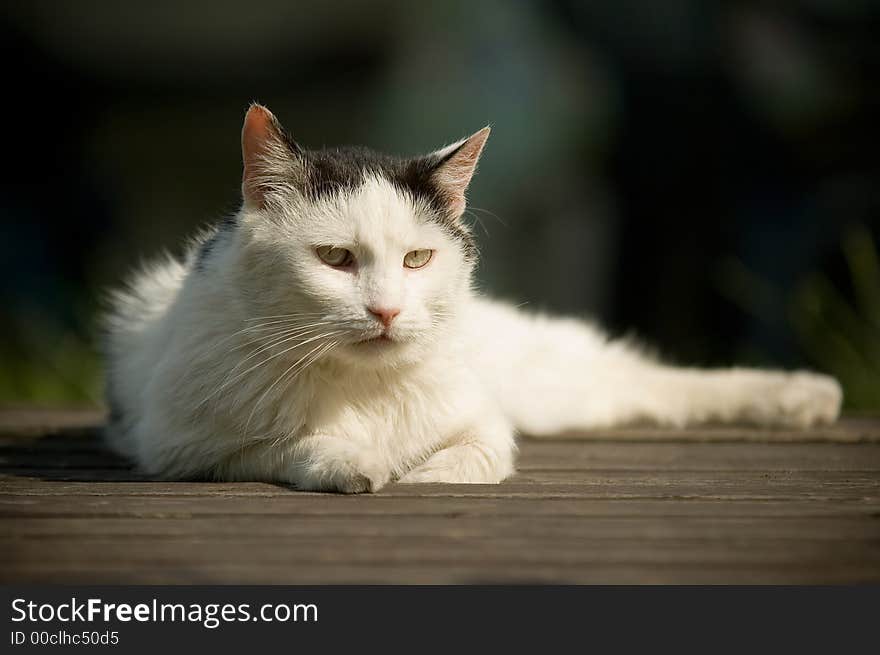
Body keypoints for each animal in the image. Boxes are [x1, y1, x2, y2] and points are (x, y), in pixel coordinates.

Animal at [103, 102, 844, 492]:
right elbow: (286, 444)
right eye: (336, 259)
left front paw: (415, 474)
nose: (386, 310)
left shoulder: (486, 425)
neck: (363, 388)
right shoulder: (180, 446)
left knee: (646, 377)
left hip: (547, 377)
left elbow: (470, 460)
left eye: (417, 258)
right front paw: (355, 460)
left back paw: (803, 395)